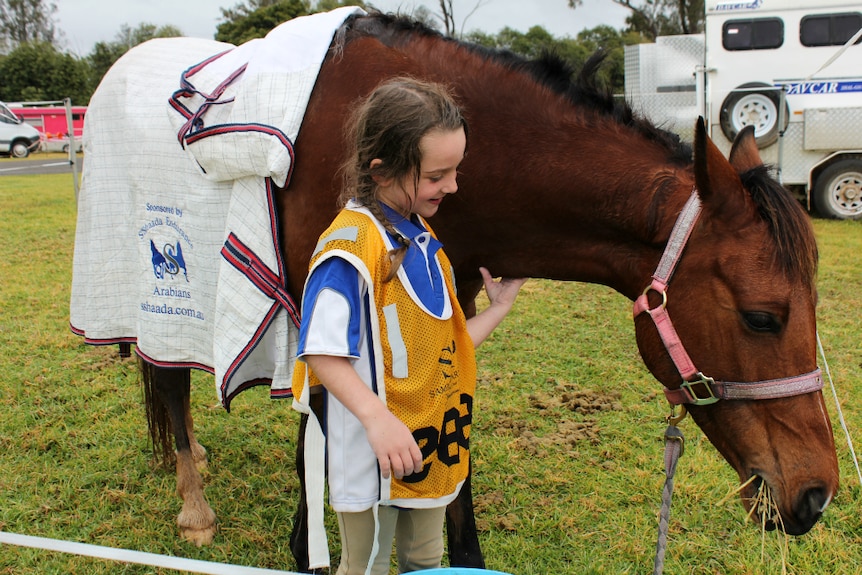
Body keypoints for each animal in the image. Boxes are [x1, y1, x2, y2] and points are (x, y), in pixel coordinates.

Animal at [72, 9, 836, 572]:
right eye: (762, 317)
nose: (816, 494)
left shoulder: (453, 296)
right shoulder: (324, 306)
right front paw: (302, 539)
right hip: (155, 292)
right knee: (168, 380)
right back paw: (194, 505)